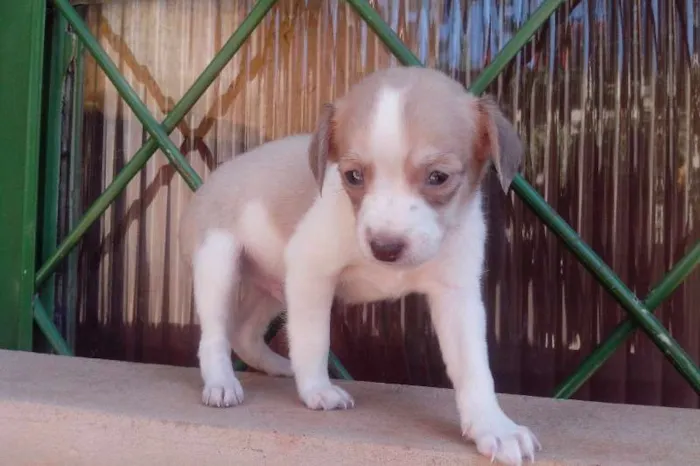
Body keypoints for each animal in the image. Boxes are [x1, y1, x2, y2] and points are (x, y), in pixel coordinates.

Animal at [178, 66, 540, 466]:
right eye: (353, 176)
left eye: (439, 177)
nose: (385, 247)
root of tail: (211, 178)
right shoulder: (310, 270)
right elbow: (314, 340)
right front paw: (317, 391)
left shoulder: (457, 295)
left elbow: (475, 368)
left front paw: (495, 426)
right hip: (218, 264)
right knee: (214, 335)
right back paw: (221, 384)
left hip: (274, 290)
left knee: (244, 333)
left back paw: (278, 367)